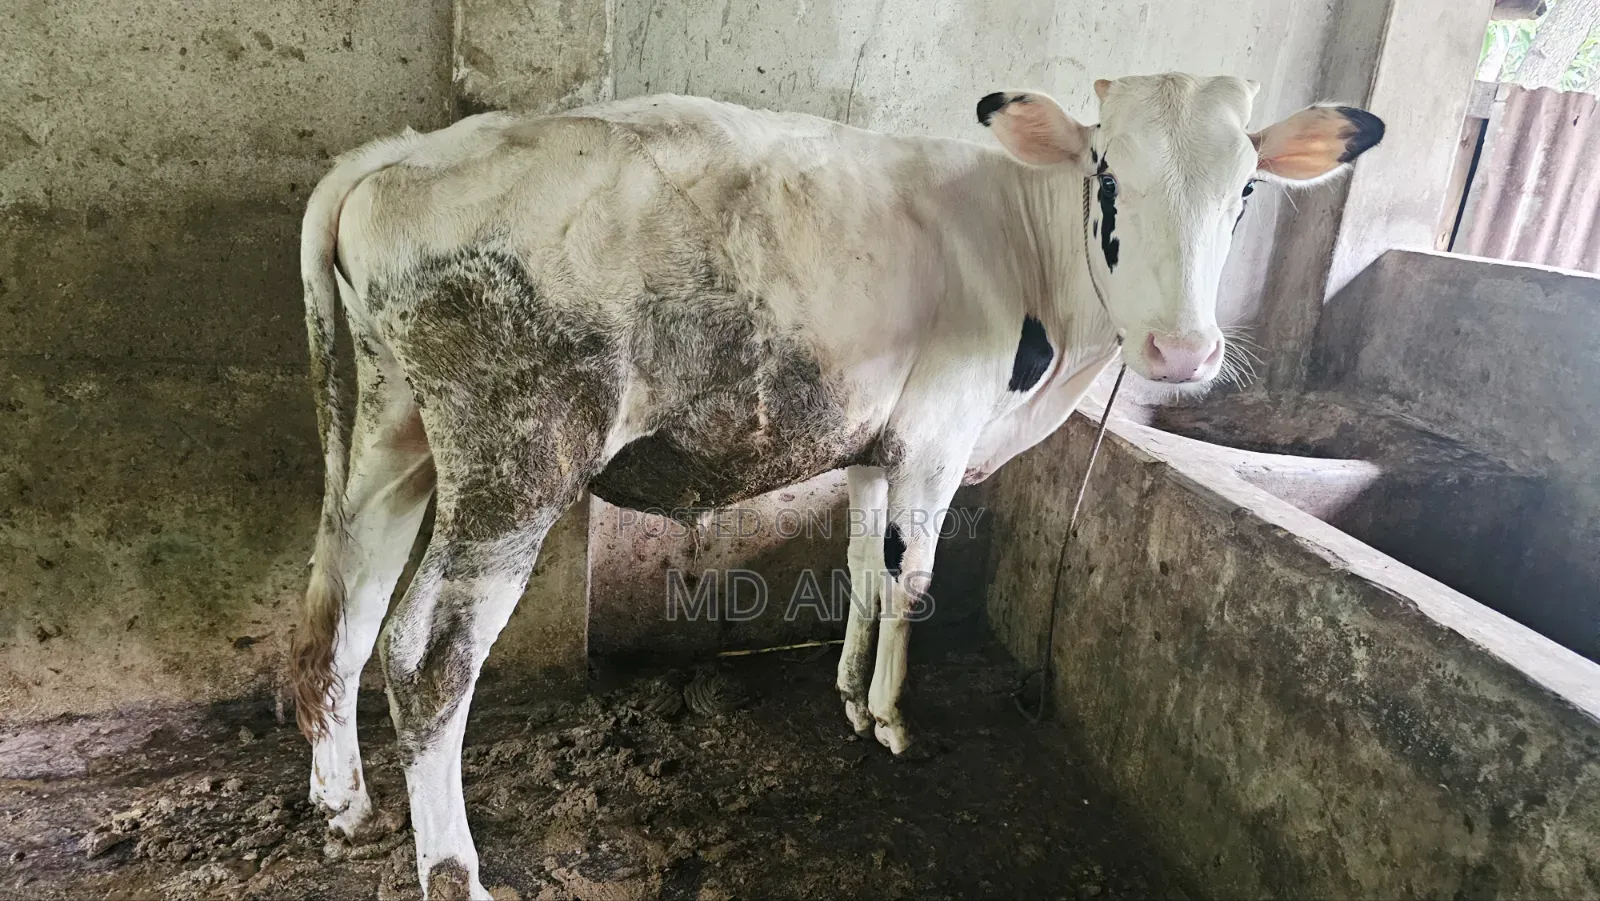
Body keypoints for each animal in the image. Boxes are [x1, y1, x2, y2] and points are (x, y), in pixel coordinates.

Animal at [288, 73, 1382, 898]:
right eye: (1107, 173)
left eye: (1246, 191)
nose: (1181, 350)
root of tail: (407, 150)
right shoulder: (938, 434)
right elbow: (912, 577)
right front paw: (894, 720)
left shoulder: (872, 447)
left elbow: (861, 565)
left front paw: (852, 695)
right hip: (518, 459)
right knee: (427, 657)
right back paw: (456, 870)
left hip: (388, 437)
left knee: (339, 611)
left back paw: (345, 806)